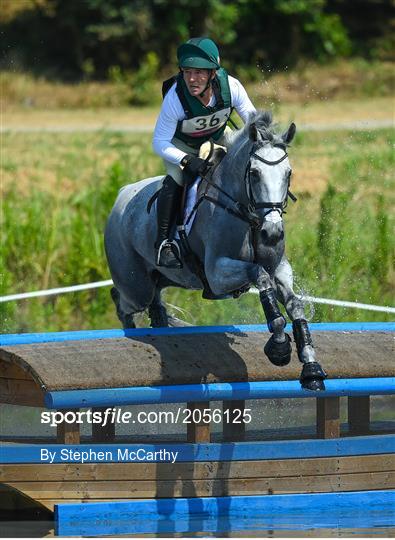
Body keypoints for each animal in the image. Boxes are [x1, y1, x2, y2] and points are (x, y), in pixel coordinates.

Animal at [104, 109, 328, 390]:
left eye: (289, 173)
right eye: (254, 173)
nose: (273, 233)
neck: (247, 216)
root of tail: (120, 197)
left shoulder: (279, 268)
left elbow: (295, 304)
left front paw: (311, 368)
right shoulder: (217, 274)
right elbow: (259, 276)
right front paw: (278, 348)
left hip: (162, 280)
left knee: (156, 309)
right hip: (137, 288)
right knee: (121, 301)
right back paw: (133, 333)